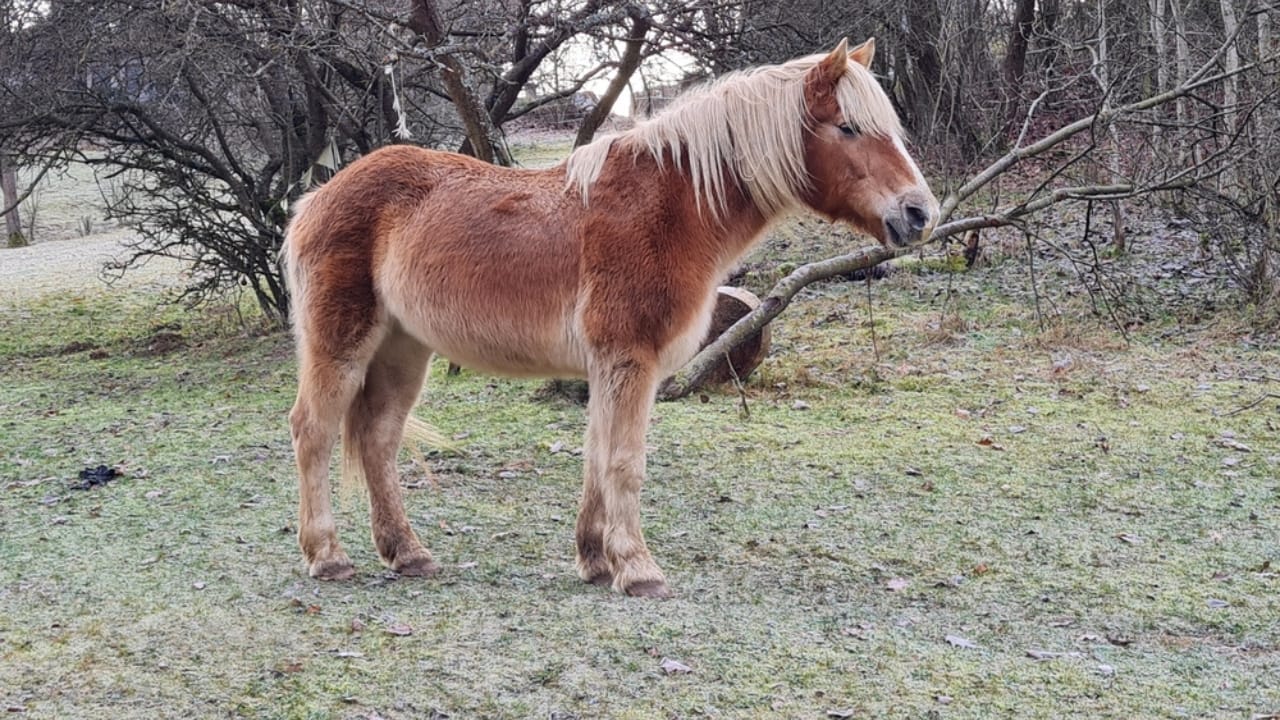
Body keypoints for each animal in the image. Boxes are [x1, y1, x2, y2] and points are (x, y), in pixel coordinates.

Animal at [282, 38, 938, 598]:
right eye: (848, 128)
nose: (919, 214)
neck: (669, 207)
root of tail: (316, 198)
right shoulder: (629, 361)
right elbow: (625, 463)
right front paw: (639, 569)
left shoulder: (607, 368)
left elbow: (597, 457)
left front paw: (596, 560)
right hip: (341, 344)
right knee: (313, 430)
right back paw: (328, 557)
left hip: (403, 349)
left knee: (378, 438)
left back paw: (408, 553)